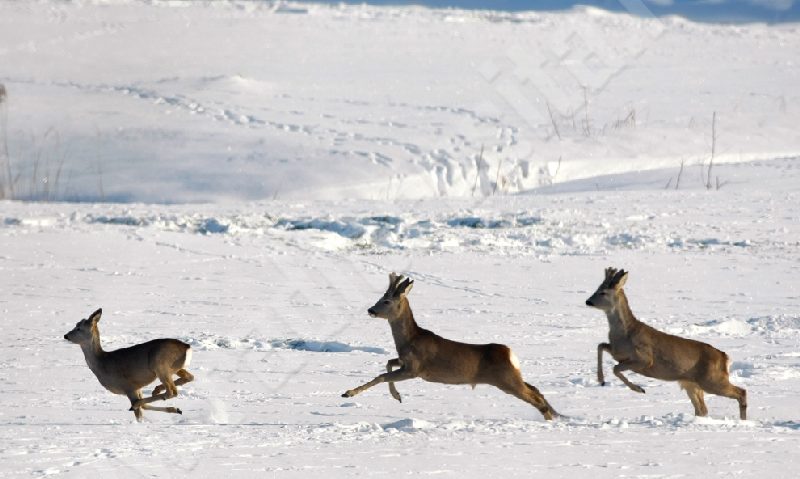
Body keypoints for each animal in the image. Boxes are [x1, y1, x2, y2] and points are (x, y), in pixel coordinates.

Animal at [63, 310, 194, 422]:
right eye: (76, 324)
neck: (102, 363)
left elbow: (139, 413)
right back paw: (157, 391)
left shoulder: (129, 386)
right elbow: (144, 406)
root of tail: (187, 347)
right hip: (174, 368)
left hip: (160, 365)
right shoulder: (137, 387)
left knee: (172, 391)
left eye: (79, 328)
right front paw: (176, 409)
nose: (66, 335)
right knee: (189, 377)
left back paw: (145, 399)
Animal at [340, 274, 560, 420]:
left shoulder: (415, 369)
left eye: (386, 301)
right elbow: (387, 363)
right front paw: (397, 396)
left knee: (535, 398)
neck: (409, 340)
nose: (371, 310)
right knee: (535, 388)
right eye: (378, 298)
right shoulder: (404, 362)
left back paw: (550, 420)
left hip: (505, 380)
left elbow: (382, 376)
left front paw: (348, 393)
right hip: (510, 377)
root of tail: (510, 353)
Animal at [584, 270, 748, 420]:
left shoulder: (644, 358)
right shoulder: (616, 352)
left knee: (741, 392)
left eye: (603, 292)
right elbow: (601, 346)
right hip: (691, 383)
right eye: (597, 288)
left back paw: (743, 421)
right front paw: (601, 380)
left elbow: (615, 368)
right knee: (702, 409)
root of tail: (724, 357)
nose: (588, 301)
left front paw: (639, 389)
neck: (625, 333)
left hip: (711, 379)